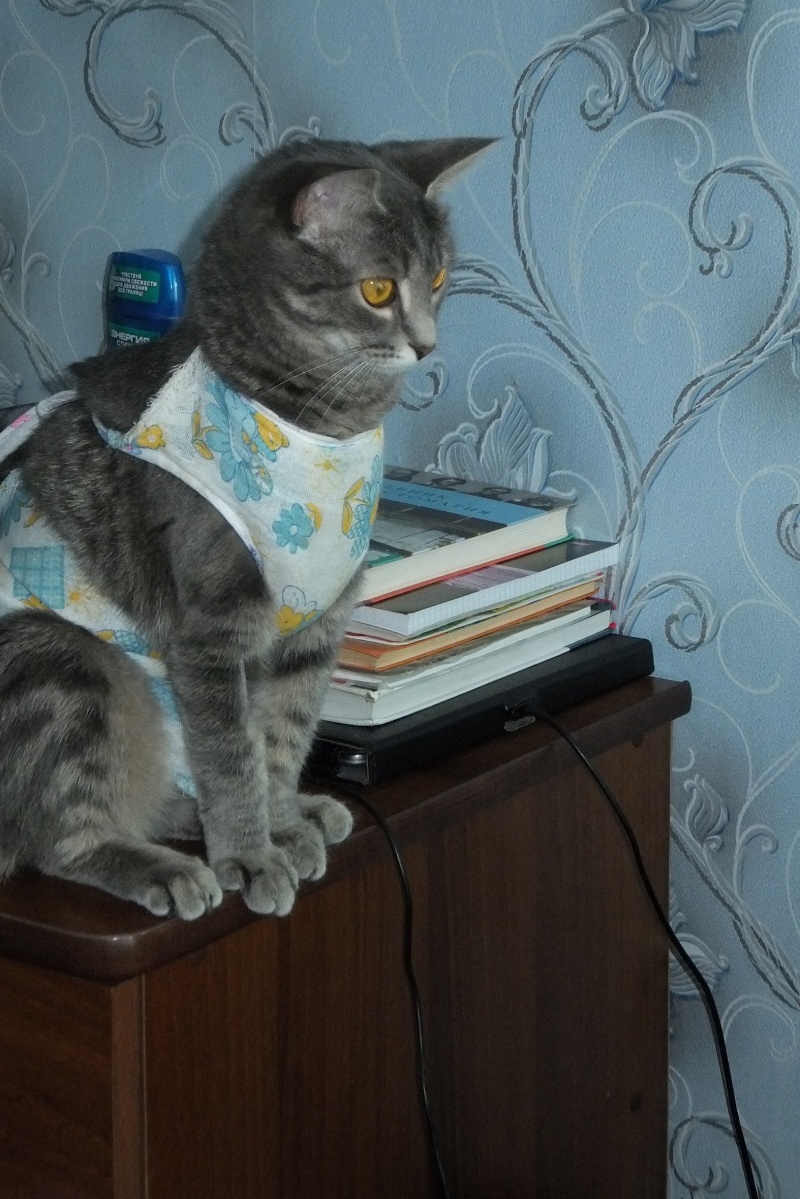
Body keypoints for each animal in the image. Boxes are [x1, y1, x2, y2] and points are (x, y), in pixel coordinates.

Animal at [0, 136, 492, 920]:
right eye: (378, 290)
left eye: (439, 276)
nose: (426, 344)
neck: (318, 423)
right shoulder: (212, 628)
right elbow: (232, 755)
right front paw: (252, 853)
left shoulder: (315, 627)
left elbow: (282, 736)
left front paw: (283, 821)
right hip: (61, 664)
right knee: (63, 836)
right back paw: (164, 868)